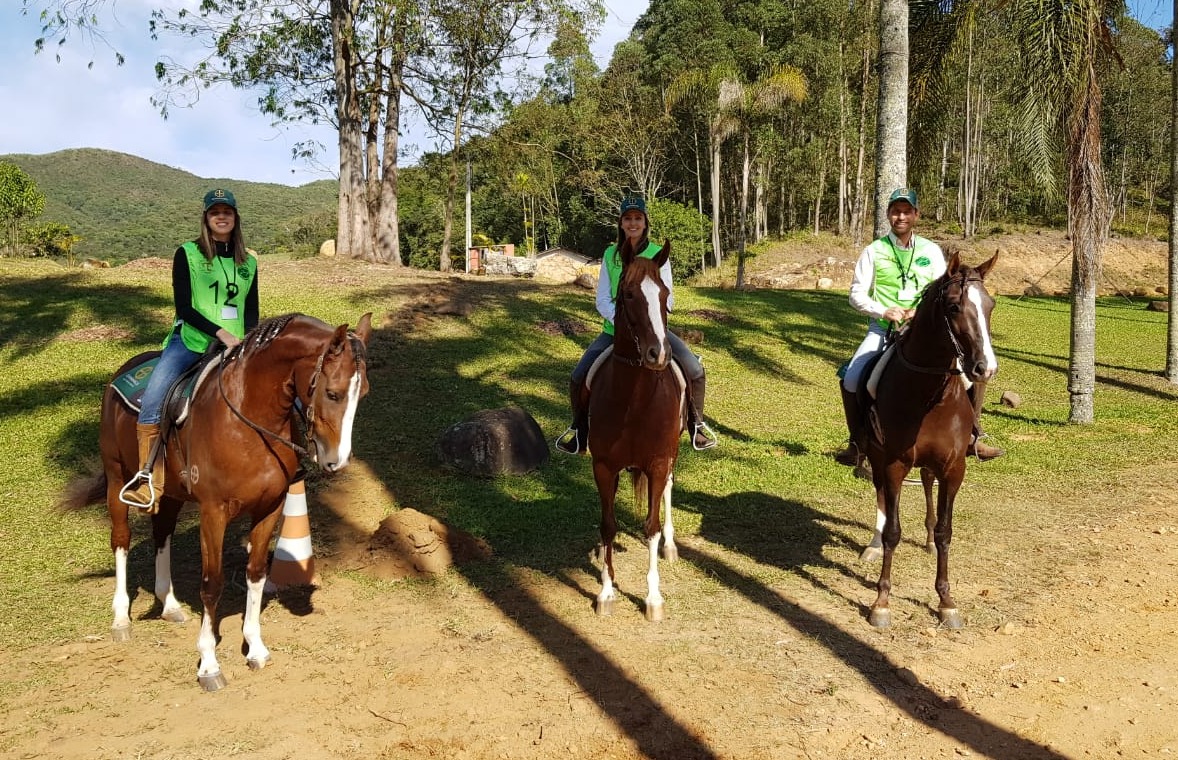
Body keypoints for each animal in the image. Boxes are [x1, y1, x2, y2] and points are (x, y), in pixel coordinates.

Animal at [60, 311, 372, 692]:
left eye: (364, 393)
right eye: (332, 393)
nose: (336, 461)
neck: (249, 420)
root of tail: (123, 370)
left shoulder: (271, 506)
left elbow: (256, 574)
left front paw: (255, 647)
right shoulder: (213, 513)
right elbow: (212, 584)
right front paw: (209, 664)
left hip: (171, 494)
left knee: (162, 533)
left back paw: (169, 603)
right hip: (117, 477)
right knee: (121, 540)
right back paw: (121, 618)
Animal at [586, 240, 687, 617]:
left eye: (665, 293)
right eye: (628, 294)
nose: (659, 354)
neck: (634, 401)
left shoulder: (657, 464)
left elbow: (651, 527)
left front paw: (653, 598)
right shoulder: (603, 466)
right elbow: (608, 525)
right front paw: (605, 590)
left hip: (673, 454)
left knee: (670, 488)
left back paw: (671, 546)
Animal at [857, 252, 994, 626]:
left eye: (990, 305)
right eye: (953, 307)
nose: (984, 368)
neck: (929, 398)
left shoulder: (954, 467)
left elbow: (946, 532)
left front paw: (946, 601)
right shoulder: (893, 463)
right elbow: (893, 531)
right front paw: (881, 602)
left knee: (928, 484)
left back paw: (929, 539)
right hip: (876, 458)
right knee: (881, 499)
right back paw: (873, 544)